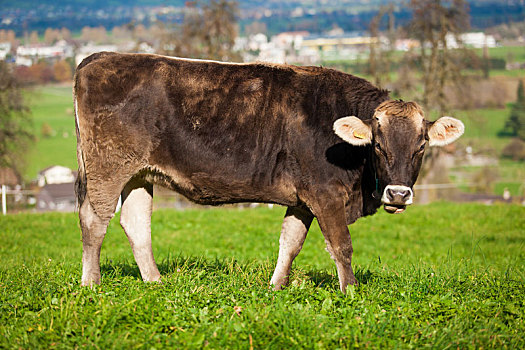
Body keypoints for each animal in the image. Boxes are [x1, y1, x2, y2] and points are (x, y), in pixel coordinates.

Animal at [73, 52, 462, 292]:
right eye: (378, 145)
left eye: (422, 145)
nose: (398, 194)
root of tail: (101, 57)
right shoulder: (326, 194)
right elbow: (341, 245)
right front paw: (351, 292)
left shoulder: (303, 200)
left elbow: (290, 242)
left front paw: (276, 287)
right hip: (108, 167)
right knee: (94, 219)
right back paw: (91, 283)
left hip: (138, 174)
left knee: (136, 223)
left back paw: (154, 281)